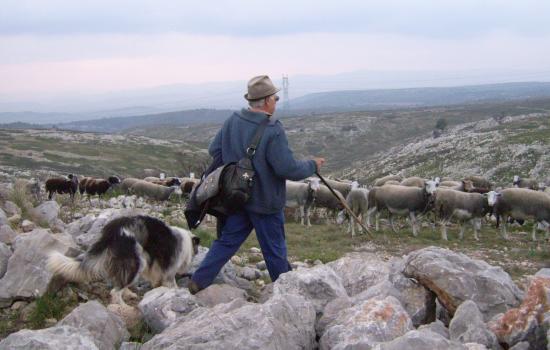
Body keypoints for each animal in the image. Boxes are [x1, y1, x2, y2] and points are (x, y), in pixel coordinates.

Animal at [48, 215, 201, 304]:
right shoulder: (169, 269)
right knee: (115, 291)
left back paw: (129, 294)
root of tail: (113, 230)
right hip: (136, 261)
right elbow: (171, 283)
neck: (186, 241)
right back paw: (121, 306)